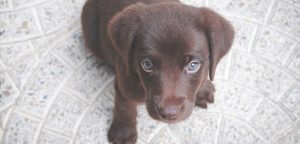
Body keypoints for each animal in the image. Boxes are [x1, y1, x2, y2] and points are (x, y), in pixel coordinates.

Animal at [81, 0, 233, 143]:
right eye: (147, 64)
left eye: (193, 65)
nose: (168, 114)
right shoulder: (124, 85)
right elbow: (125, 109)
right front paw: (123, 133)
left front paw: (203, 89)